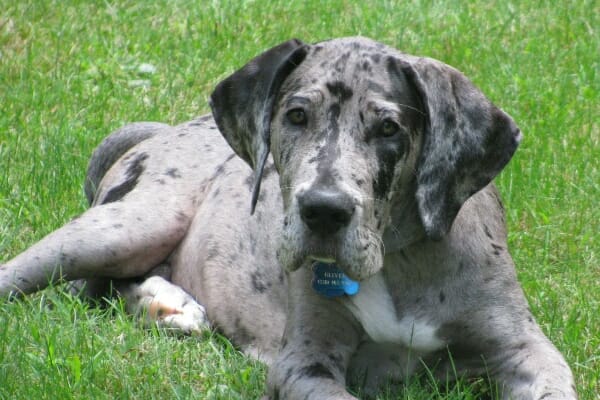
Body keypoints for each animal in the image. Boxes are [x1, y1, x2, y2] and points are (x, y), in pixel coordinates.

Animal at [0, 36, 576, 398]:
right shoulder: (304, 362)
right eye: (296, 116)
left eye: (389, 128)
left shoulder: (526, 349)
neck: (399, 260)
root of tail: (167, 128)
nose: (323, 210)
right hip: (126, 227)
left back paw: (166, 304)